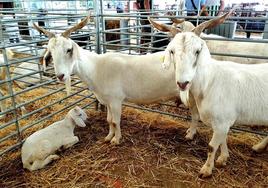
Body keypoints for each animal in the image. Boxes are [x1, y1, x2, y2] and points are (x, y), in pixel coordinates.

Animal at [161, 13, 268, 177]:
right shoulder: (222, 123)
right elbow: (222, 140)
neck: (210, 80)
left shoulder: (222, 121)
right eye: (172, 51)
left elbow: (212, 146)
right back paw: (258, 147)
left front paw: (206, 170)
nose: (183, 83)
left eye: (197, 51)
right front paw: (223, 158)